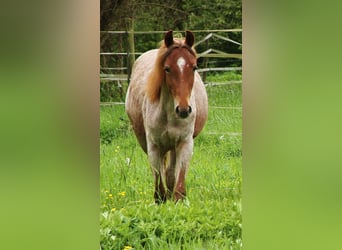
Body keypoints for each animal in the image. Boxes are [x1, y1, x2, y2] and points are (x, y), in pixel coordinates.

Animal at [124, 30, 207, 203]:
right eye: (167, 68)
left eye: (194, 67)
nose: (183, 110)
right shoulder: (153, 146)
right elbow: (157, 178)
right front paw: (161, 200)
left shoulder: (185, 142)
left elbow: (179, 179)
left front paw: (178, 199)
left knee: (170, 173)